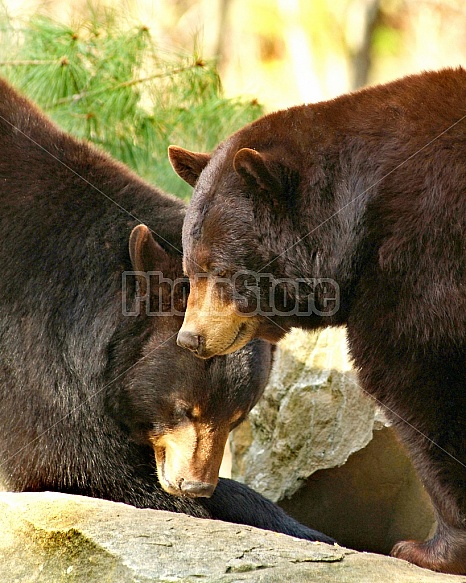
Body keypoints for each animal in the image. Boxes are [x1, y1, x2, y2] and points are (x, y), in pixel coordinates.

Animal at [169, 68, 466, 576]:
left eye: (220, 269)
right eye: (191, 267)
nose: (191, 338)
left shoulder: (422, 251)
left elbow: (417, 372)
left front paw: (428, 549)